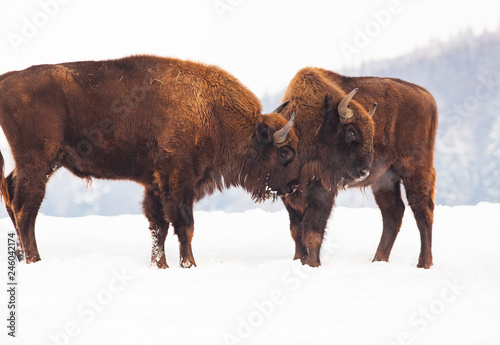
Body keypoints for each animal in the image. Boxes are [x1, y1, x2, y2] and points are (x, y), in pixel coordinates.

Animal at [0, 55, 300, 268]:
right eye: (285, 153)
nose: (295, 185)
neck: (211, 112)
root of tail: (8, 80)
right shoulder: (178, 180)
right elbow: (184, 225)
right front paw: (189, 265)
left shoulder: (155, 185)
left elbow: (159, 227)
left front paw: (161, 265)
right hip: (37, 163)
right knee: (25, 209)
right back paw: (35, 260)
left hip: (38, 165)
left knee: (12, 197)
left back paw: (23, 258)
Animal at [282, 66, 438, 268]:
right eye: (350, 132)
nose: (364, 171)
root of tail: (426, 96)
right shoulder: (289, 197)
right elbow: (296, 232)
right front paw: (299, 261)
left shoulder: (323, 193)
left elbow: (312, 233)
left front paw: (313, 265)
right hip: (384, 179)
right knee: (394, 211)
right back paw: (378, 259)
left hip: (414, 168)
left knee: (422, 209)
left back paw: (423, 263)